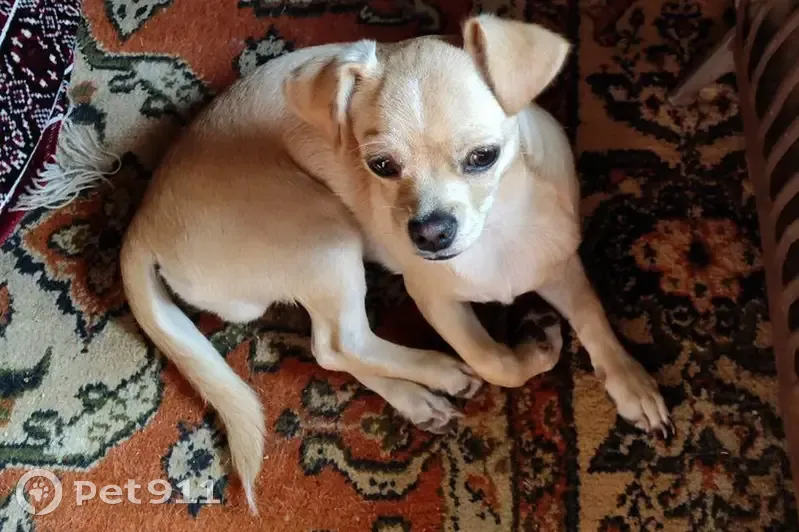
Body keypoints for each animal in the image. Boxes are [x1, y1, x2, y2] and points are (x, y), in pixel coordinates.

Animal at [120, 15, 670, 511]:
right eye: (380, 166)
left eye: (484, 157)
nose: (429, 232)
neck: (499, 233)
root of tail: (141, 222)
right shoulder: (434, 299)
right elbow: (496, 362)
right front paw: (535, 344)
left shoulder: (558, 261)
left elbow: (594, 317)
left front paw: (632, 384)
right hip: (321, 230)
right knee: (345, 340)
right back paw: (439, 374)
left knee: (328, 348)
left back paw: (417, 401)